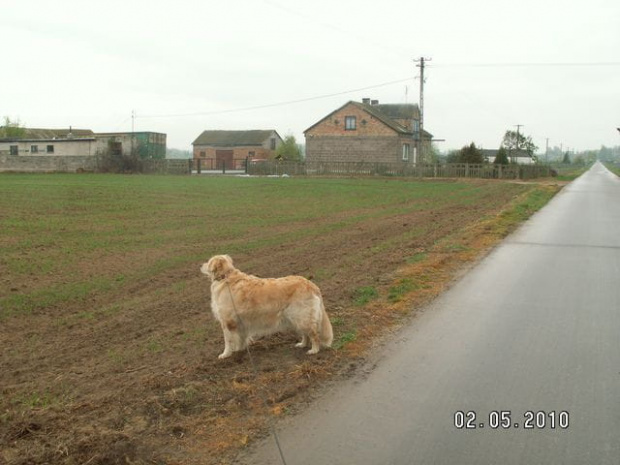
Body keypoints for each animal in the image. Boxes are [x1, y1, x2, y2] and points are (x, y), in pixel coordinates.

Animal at [201, 254, 332, 358]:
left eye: (208, 262)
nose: (202, 265)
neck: (226, 276)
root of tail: (311, 284)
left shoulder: (227, 322)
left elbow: (228, 341)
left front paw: (225, 354)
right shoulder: (240, 322)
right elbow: (241, 338)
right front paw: (240, 349)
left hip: (302, 316)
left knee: (314, 335)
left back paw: (314, 350)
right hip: (297, 318)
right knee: (306, 334)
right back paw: (302, 344)